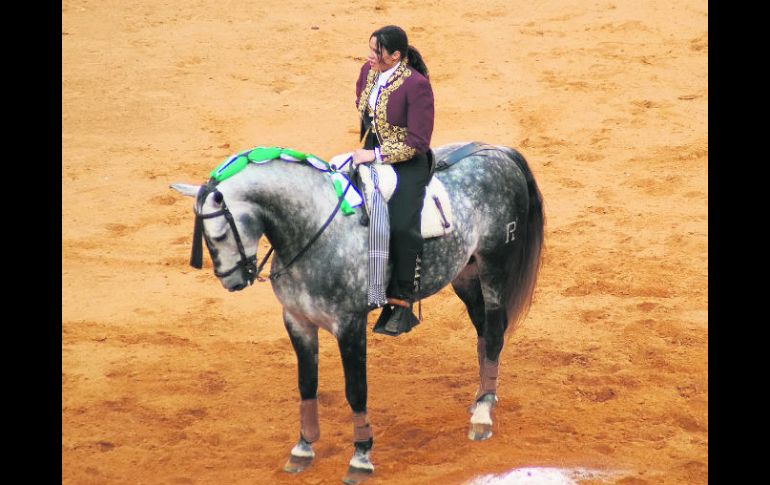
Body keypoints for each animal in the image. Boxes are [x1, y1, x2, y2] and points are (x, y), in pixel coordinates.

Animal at [170, 142, 540, 482]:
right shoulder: (297, 321)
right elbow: (307, 384)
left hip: (494, 266)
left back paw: (482, 415)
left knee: (494, 333)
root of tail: (497, 151)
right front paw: (303, 448)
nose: (233, 282)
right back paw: (481, 399)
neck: (312, 230)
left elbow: (355, 389)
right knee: (483, 332)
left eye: (219, 233)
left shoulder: (349, 324)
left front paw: (361, 457)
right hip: (465, 272)